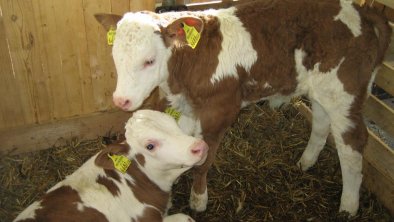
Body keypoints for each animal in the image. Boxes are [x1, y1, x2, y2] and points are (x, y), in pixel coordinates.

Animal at [94, 0, 390, 216]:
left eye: (149, 60)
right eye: (115, 56)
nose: (121, 101)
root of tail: (363, 11)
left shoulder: (221, 110)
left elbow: (204, 159)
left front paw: (198, 199)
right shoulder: (189, 108)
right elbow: (183, 140)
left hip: (345, 93)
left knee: (352, 145)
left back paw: (348, 206)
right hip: (320, 88)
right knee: (320, 121)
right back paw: (306, 162)